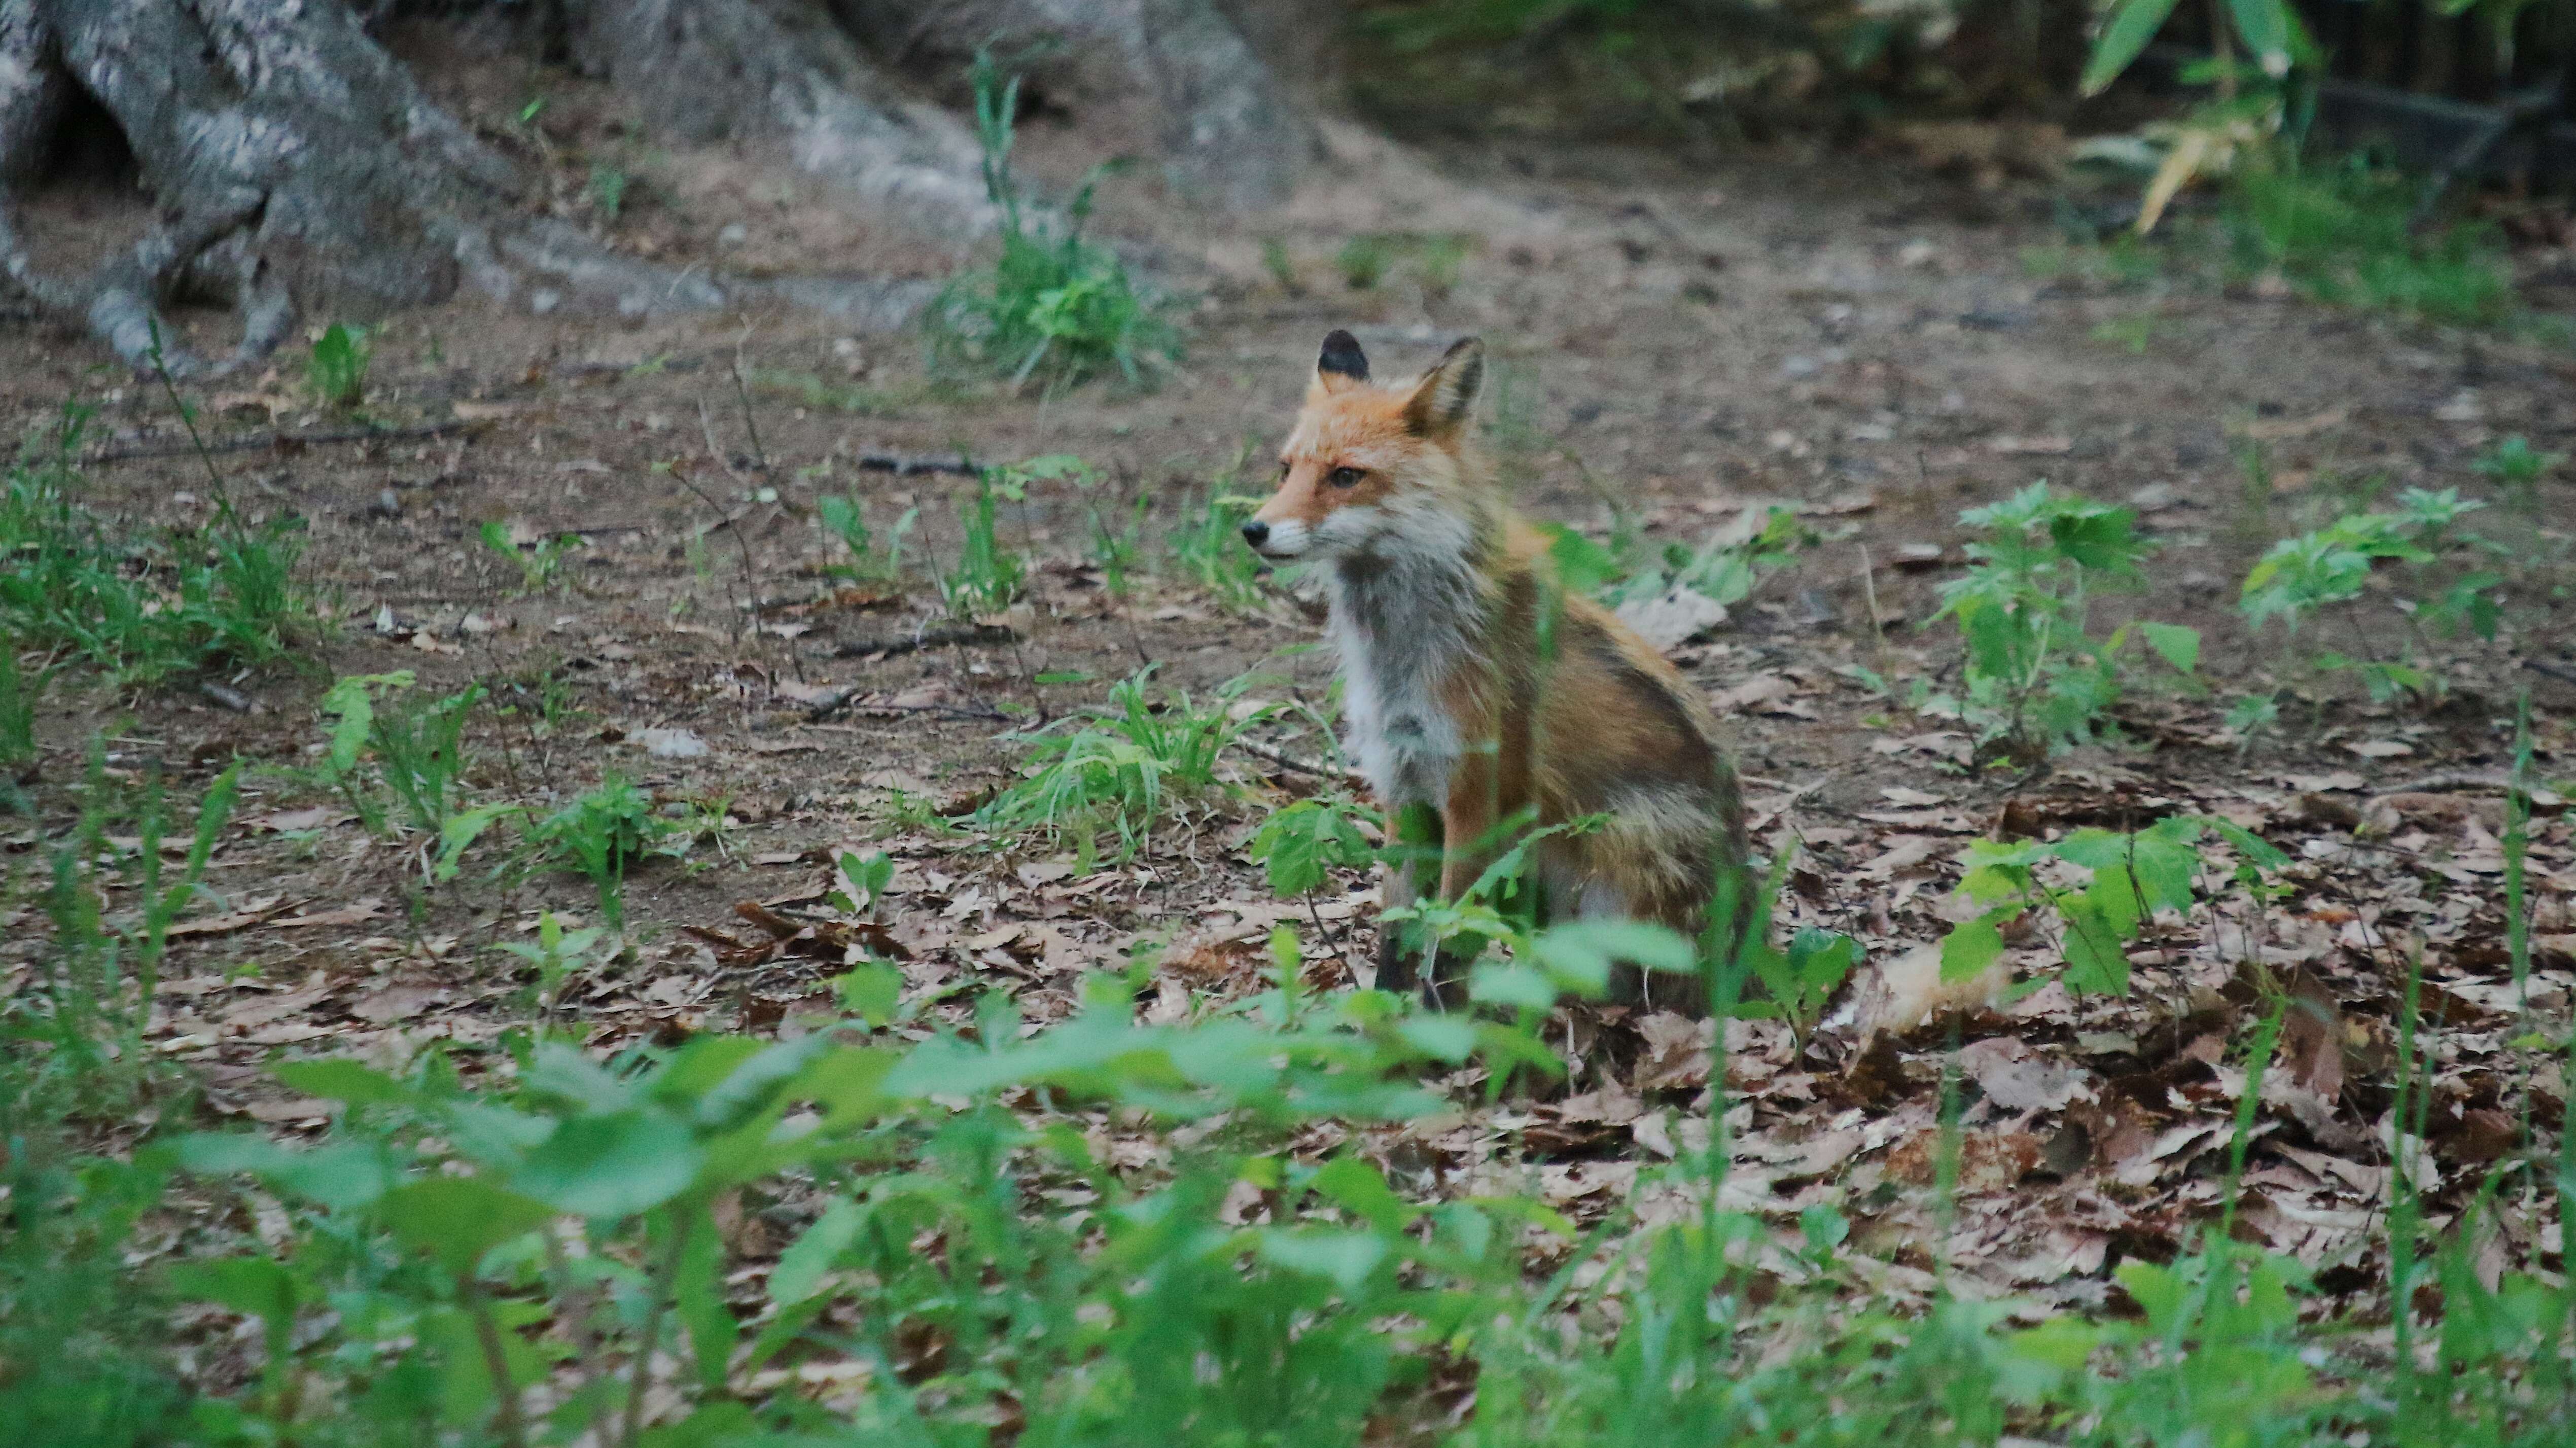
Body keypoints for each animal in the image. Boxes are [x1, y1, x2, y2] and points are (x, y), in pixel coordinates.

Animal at [1236, 332, 1741, 1000]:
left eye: (1346, 476)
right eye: (1286, 469)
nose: (1253, 529)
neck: (1402, 659)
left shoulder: (1478, 796)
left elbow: (1450, 939)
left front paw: (1432, 1020)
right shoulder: (1402, 783)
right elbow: (1397, 930)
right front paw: (1382, 1016)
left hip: (1609, 850)